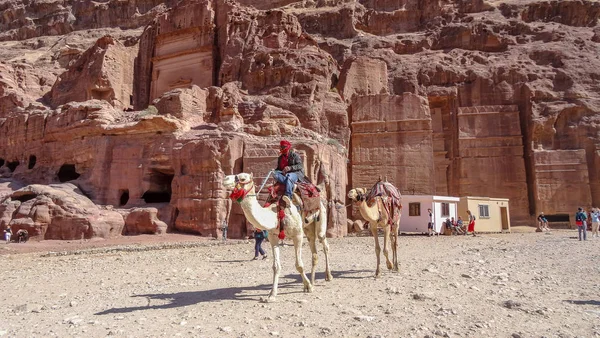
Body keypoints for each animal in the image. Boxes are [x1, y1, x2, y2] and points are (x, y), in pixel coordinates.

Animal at [221, 173, 314, 302]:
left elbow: (299, 265)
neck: (275, 214)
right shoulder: (273, 236)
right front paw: (271, 295)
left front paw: (309, 286)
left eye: (243, 178)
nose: (225, 179)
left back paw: (326, 277)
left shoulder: (298, 234)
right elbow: (276, 266)